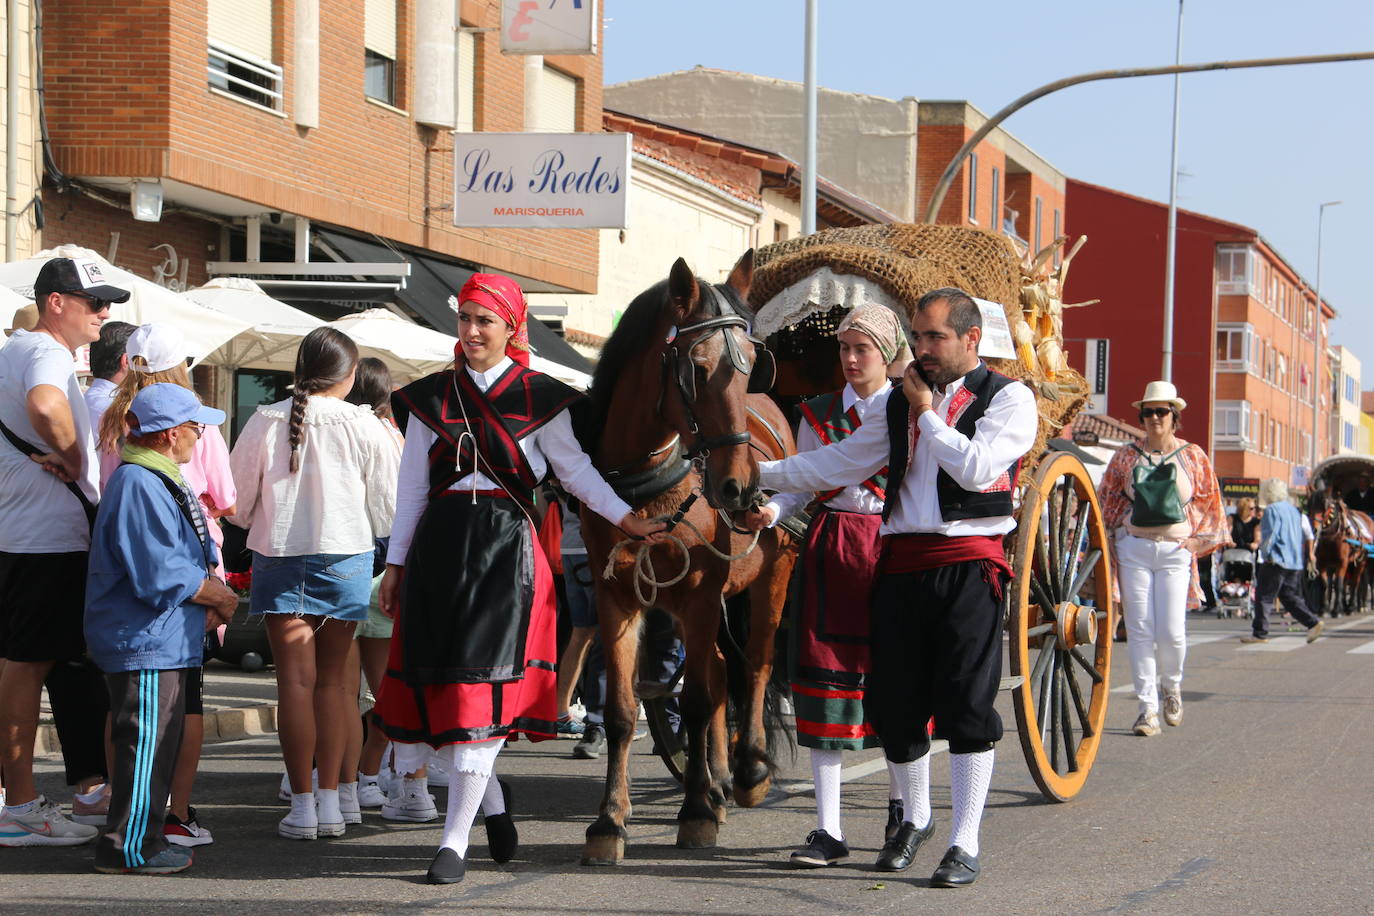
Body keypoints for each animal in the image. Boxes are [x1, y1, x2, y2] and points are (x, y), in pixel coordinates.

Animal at [577, 252, 796, 867]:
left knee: (755, 664)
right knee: (721, 669)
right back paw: (718, 778)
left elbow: (697, 701)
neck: (649, 486)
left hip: (772, 576)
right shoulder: (619, 598)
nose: (742, 489)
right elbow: (622, 710)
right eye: (697, 369)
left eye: (752, 366)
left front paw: (695, 811)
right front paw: (610, 821)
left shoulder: (699, 595)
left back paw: (746, 771)